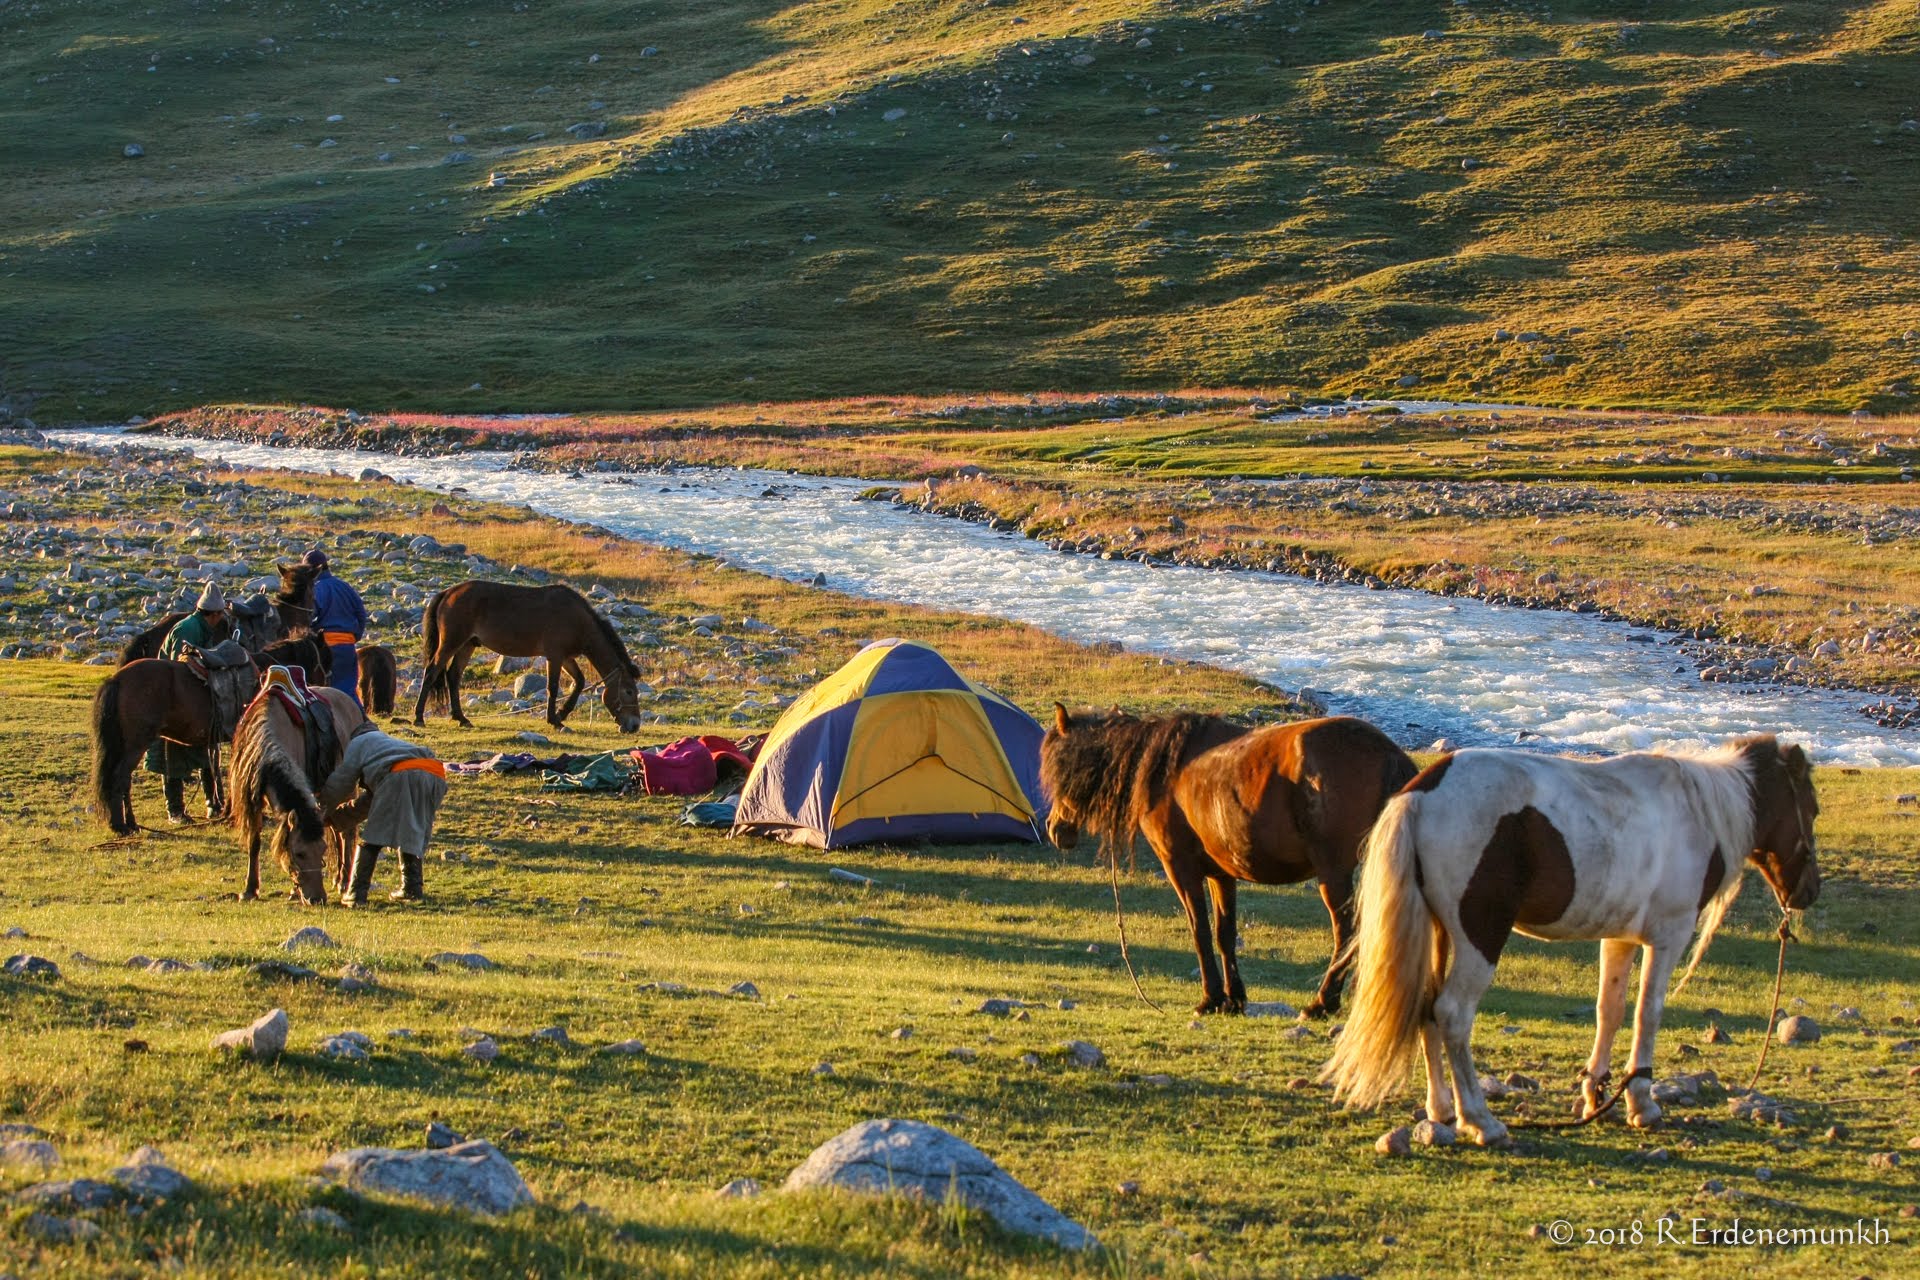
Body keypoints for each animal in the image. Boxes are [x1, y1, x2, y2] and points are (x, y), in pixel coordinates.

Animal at [226, 687, 364, 905]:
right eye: (299, 853)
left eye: (322, 850)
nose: (317, 899)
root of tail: (351, 703)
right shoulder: (253, 802)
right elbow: (254, 842)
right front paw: (250, 889)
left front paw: (293, 891)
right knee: (336, 828)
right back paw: (338, 878)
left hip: (346, 787)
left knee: (346, 832)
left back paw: (344, 881)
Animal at [412, 579, 645, 729]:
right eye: (629, 691)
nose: (634, 726)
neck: (579, 620)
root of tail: (448, 593)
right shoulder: (555, 655)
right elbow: (552, 687)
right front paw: (554, 720)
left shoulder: (566, 657)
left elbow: (579, 682)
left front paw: (562, 713)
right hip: (452, 642)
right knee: (432, 672)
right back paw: (419, 717)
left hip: (468, 644)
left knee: (453, 676)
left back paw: (461, 718)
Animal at [1036, 706, 1428, 1013]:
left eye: (1058, 768)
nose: (1056, 829)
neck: (1163, 770)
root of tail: (1387, 753)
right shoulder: (1220, 874)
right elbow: (1224, 933)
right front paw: (1233, 998)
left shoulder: (1181, 868)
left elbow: (1199, 929)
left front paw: (1210, 999)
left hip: (1334, 875)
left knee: (1347, 932)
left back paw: (1322, 1002)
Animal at [1328, 736, 1820, 1143]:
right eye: (1811, 809)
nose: (1808, 893)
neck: (1698, 814)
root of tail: (1424, 791)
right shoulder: (1667, 936)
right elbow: (1648, 1014)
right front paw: (1641, 1104)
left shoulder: (1620, 939)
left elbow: (1610, 1011)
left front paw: (1595, 1095)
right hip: (1480, 937)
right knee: (1451, 1014)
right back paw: (1480, 1120)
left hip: (1438, 933)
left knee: (1427, 1010)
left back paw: (1443, 1110)